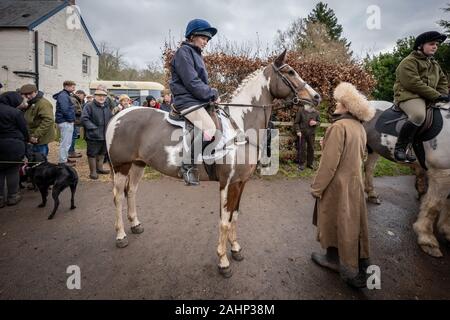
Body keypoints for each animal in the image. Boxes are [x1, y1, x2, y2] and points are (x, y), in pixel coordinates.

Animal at [364, 100, 448, 258]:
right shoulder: (442, 173)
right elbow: (433, 206)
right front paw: (427, 240)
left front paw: (446, 230)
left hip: (374, 149)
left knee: (368, 169)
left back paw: (372, 195)